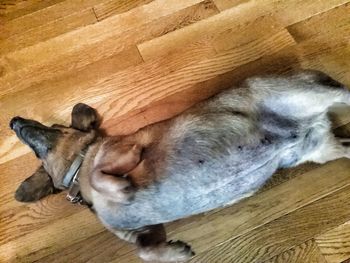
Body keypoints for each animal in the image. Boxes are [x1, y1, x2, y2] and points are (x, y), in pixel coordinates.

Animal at [10, 69, 350, 262]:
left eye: (54, 127)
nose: (13, 121)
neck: (79, 169)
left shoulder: (112, 154)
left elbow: (99, 174)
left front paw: (121, 184)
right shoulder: (144, 232)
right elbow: (145, 251)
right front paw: (175, 252)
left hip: (311, 96)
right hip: (323, 149)